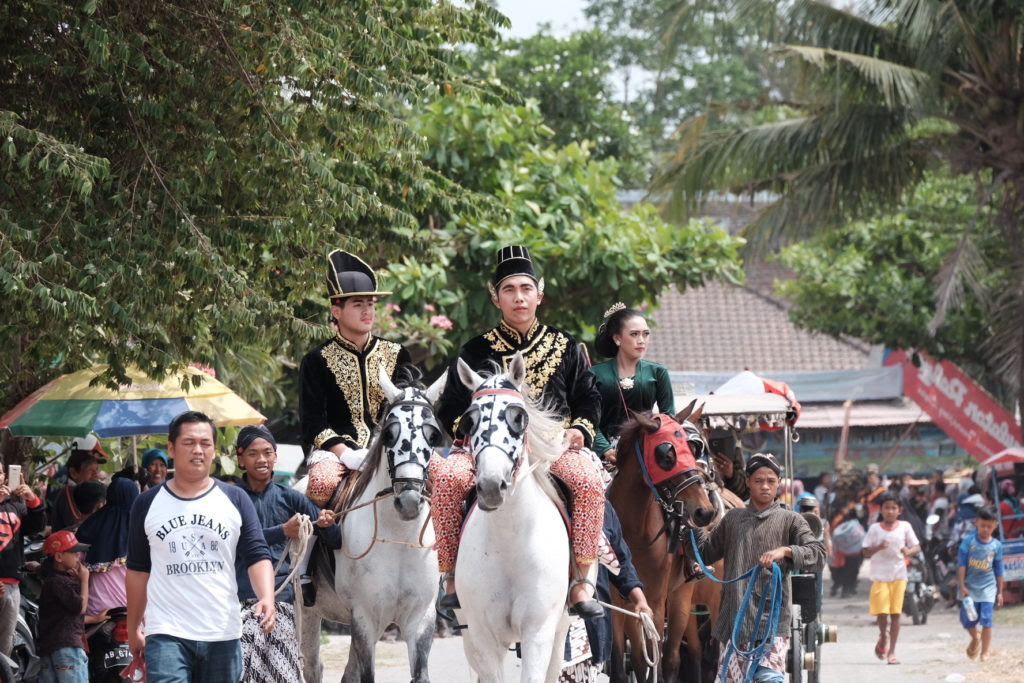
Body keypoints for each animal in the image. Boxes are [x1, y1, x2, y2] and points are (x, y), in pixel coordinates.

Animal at [294, 368, 442, 683]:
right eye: (389, 434)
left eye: (433, 435)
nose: (409, 501)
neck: (398, 538)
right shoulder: (364, 617)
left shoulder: (420, 618)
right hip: (306, 611)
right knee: (311, 666)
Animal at [452, 352, 589, 683]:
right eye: (469, 420)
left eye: (518, 417)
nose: (491, 486)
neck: (509, 543)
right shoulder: (481, 635)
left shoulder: (538, 631)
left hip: (559, 630)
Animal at [610, 409, 716, 679]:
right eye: (667, 455)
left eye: (692, 449)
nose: (705, 511)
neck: (633, 532)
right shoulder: (619, 602)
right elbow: (628, 660)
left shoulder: (656, 601)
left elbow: (655, 658)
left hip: (680, 598)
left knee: (672, 658)